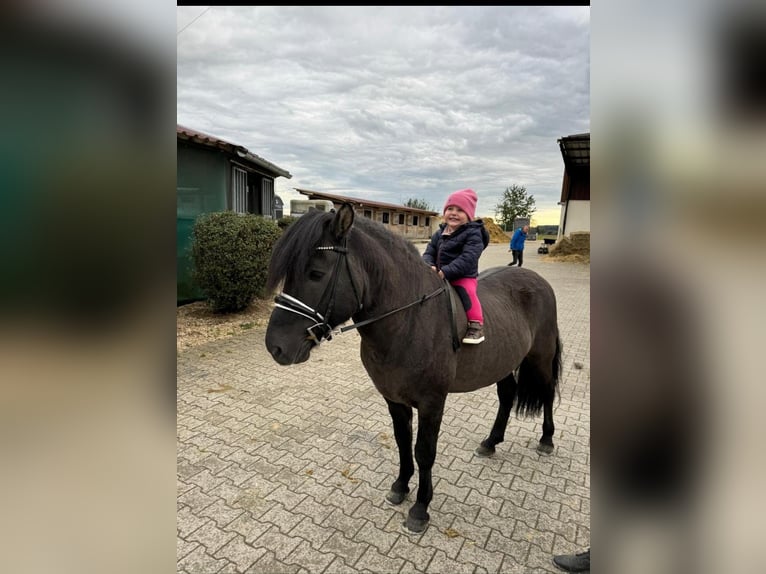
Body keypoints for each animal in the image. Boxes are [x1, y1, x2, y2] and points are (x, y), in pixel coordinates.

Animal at [266, 204, 564, 536]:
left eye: (316, 274)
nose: (275, 346)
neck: (409, 321)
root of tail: (536, 279)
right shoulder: (394, 399)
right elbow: (402, 441)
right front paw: (400, 486)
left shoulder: (432, 402)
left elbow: (424, 451)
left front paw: (421, 508)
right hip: (503, 362)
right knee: (507, 395)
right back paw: (491, 442)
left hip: (540, 357)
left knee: (547, 392)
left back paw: (546, 440)